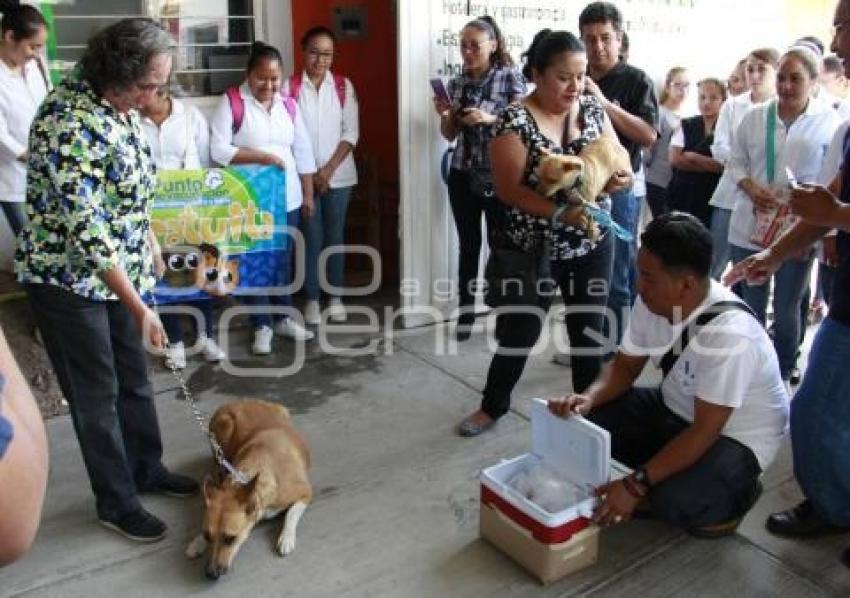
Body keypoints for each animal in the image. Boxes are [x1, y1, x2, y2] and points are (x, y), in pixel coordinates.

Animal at [186, 404, 312, 580]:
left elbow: (291, 513)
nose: (210, 574)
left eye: (230, 538)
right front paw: (198, 541)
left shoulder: (306, 492)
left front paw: (287, 537)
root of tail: (234, 402)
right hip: (224, 425)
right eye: (207, 535)